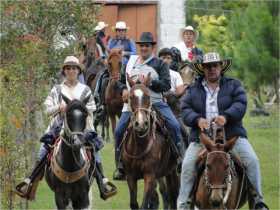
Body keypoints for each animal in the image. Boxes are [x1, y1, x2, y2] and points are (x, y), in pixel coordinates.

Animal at [121, 79, 178, 209]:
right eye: (130, 97)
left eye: (147, 96)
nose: (141, 124)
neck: (140, 146)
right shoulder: (130, 176)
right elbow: (134, 204)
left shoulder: (150, 176)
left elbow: (144, 204)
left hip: (172, 171)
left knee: (173, 195)